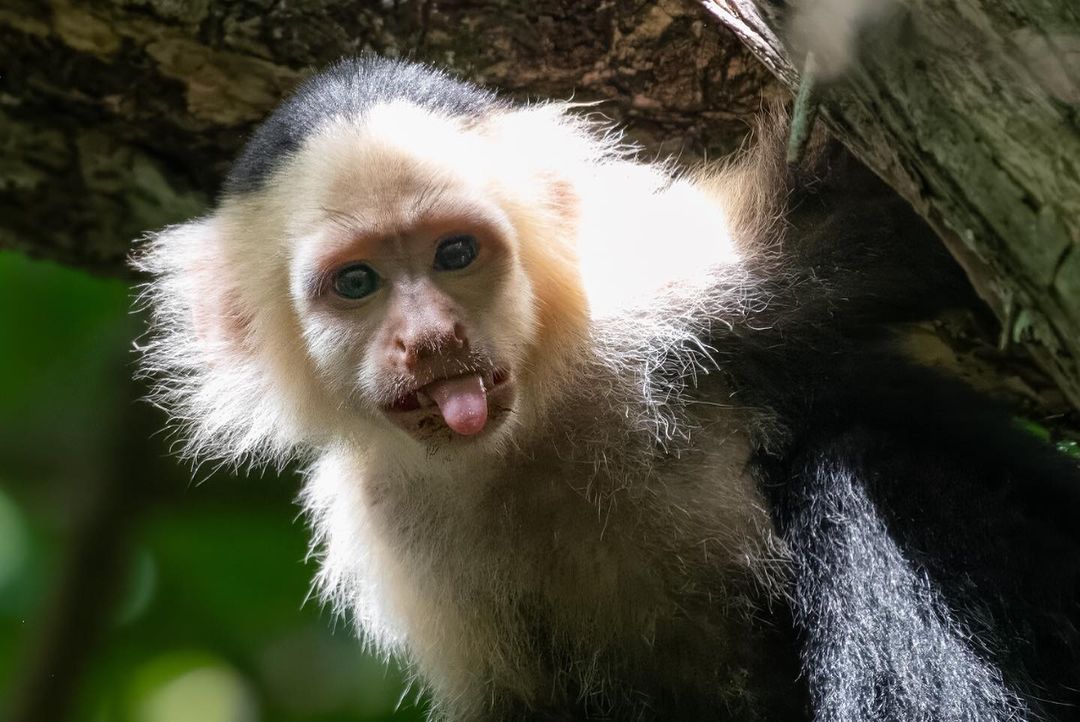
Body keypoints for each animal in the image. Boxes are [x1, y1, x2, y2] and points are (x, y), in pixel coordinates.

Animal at [134, 56, 1080, 721]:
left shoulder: (681, 290)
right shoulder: (394, 536)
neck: (528, 440)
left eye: (454, 253)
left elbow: (900, 211)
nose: (430, 339)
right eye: (356, 283)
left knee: (864, 471)